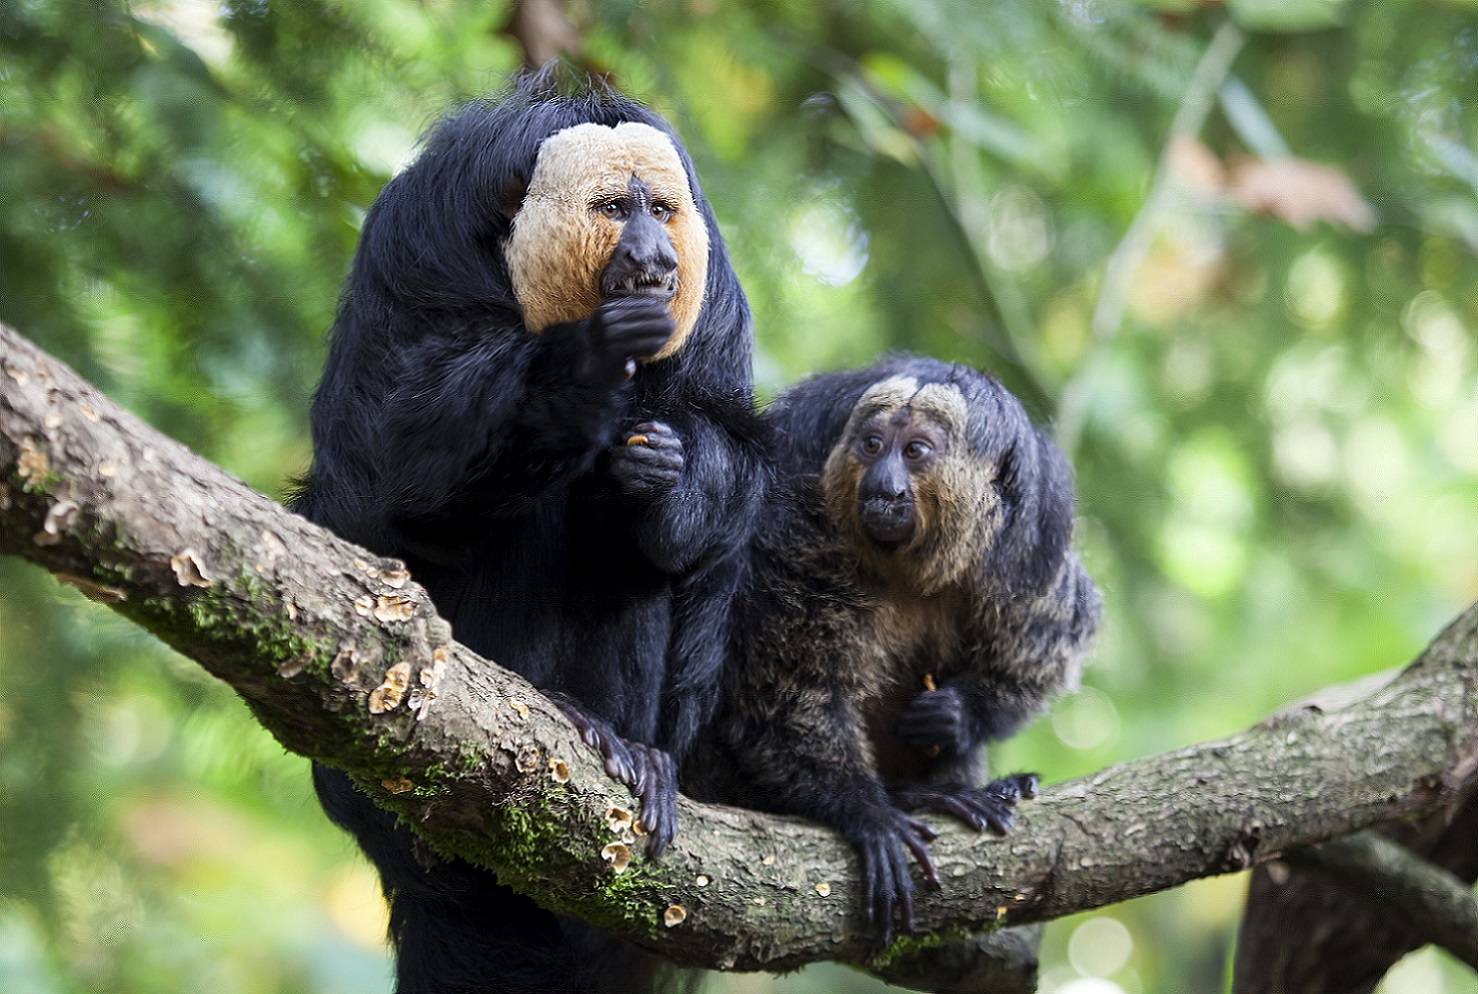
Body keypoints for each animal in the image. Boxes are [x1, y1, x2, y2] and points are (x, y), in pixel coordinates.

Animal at [295, 77, 768, 992]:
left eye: (662, 209)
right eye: (615, 209)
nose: (655, 261)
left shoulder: (717, 299)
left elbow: (724, 477)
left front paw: (665, 471)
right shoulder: (419, 246)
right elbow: (390, 466)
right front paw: (583, 366)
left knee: (638, 560)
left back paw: (633, 751)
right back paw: (558, 707)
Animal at [703, 352, 1099, 939]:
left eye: (914, 452)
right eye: (872, 445)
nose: (883, 485)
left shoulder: (1025, 549)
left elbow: (1052, 644)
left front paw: (955, 714)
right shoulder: (797, 529)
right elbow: (786, 687)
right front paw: (868, 812)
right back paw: (922, 796)